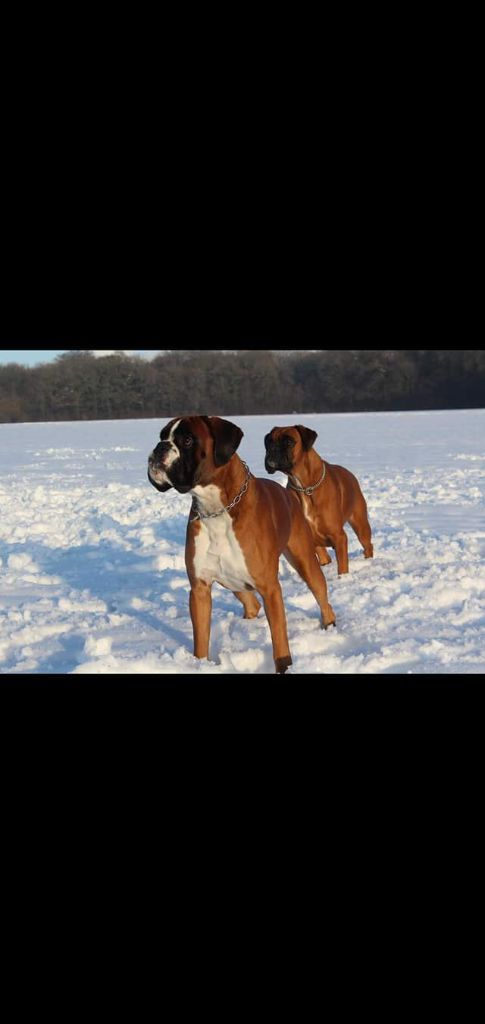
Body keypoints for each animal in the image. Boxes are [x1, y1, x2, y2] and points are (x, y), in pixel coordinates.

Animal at [147, 415, 335, 671]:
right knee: (251, 603)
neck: (216, 509)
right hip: (231, 579)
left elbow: (279, 639)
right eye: (161, 436)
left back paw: (330, 625)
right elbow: (201, 640)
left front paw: (285, 666)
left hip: (305, 562)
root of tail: (288, 494)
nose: (159, 448)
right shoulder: (200, 589)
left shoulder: (270, 589)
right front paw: (200, 665)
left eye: (187, 440)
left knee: (322, 598)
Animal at [266, 423, 370, 577]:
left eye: (288, 442)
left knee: (368, 545)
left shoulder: (339, 537)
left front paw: (342, 578)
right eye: (268, 441)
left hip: (361, 526)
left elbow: (342, 567)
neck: (305, 487)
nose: (272, 449)